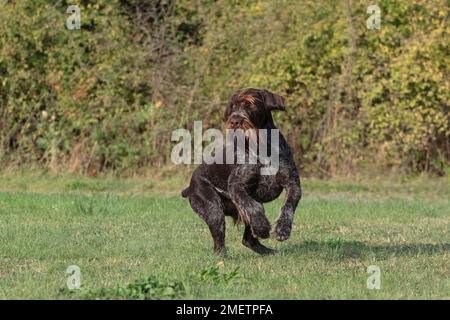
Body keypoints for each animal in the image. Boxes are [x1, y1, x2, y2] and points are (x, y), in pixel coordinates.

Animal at [182, 88, 302, 255]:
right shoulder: (236, 186)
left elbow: (288, 206)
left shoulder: (293, 184)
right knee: (219, 241)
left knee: (248, 240)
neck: (260, 146)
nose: (234, 121)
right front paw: (261, 226)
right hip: (213, 209)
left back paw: (269, 252)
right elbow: (254, 207)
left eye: (249, 103)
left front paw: (282, 230)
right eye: (233, 107)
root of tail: (190, 185)